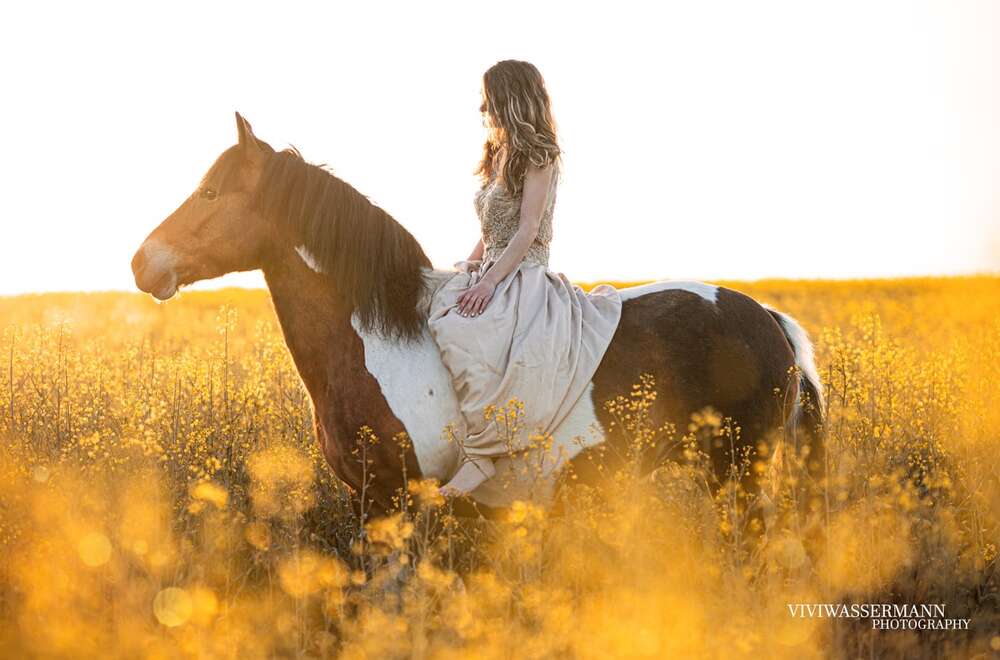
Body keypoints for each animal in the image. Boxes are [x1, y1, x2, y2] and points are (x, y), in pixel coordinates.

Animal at [131, 113, 824, 522]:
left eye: (210, 192)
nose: (142, 263)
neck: (374, 342)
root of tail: (767, 317)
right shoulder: (366, 499)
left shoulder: (394, 499)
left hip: (741, 473)